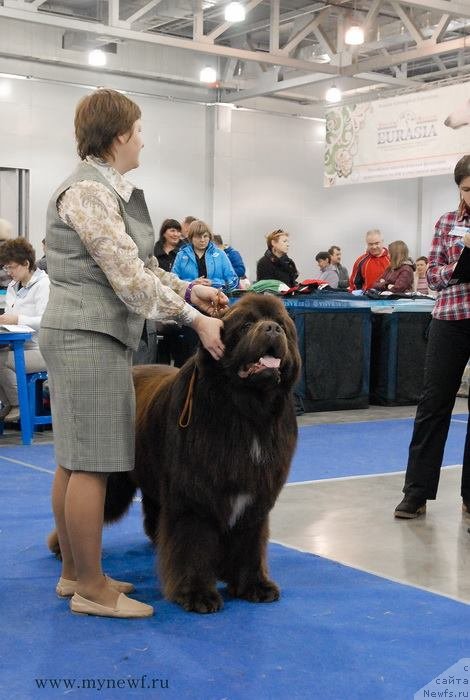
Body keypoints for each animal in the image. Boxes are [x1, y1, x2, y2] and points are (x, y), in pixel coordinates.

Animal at [52, 296, 302, 612]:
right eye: (246, 325)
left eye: (281, 324)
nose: (271, 329)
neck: (245, 413)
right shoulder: (193, 495)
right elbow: (192, 542)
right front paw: (196, 594)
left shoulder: (255, 495)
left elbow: (249, 541)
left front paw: (254, 586)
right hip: (113, 477)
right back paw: (62, 552)